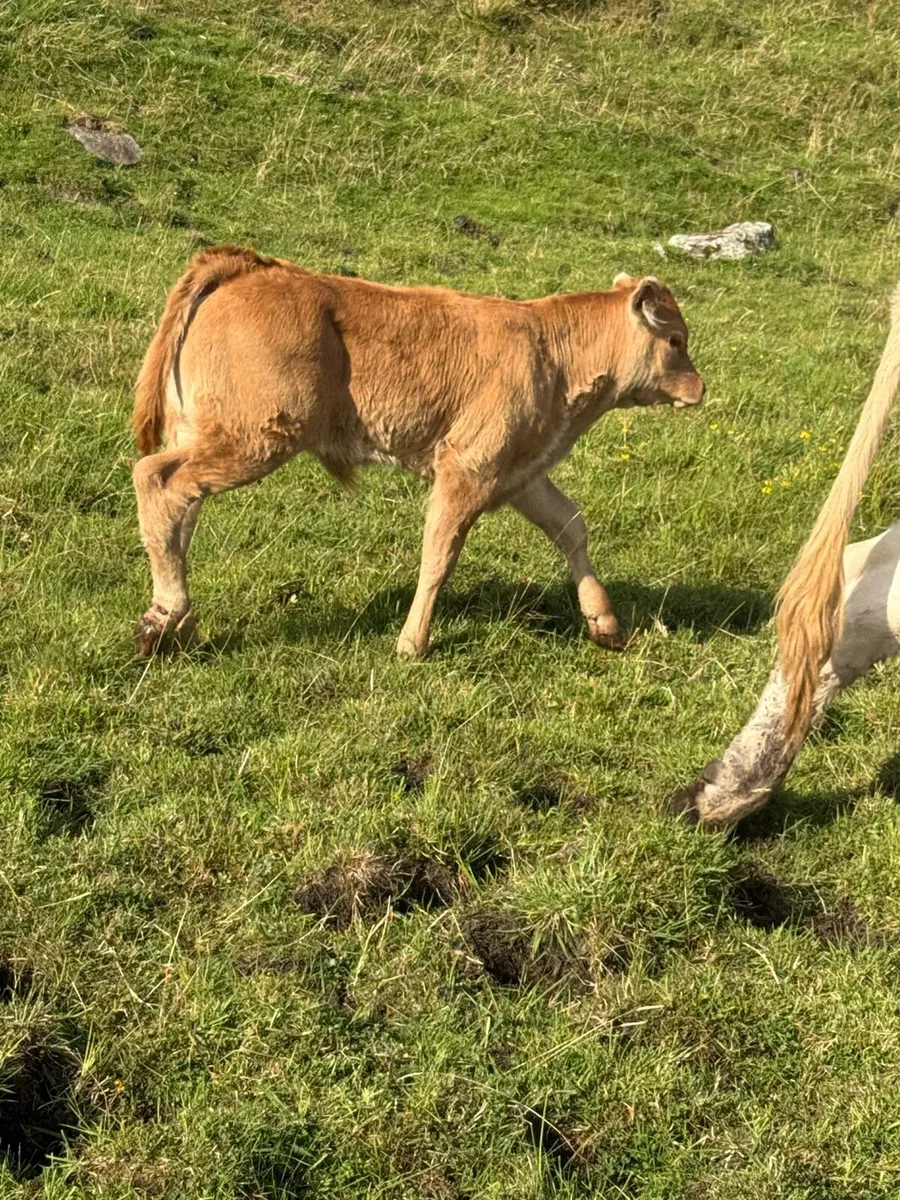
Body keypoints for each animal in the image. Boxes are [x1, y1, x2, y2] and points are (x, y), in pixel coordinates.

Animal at [130, 247, 704, 658]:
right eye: (675, 340)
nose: (699, 388)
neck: (550, 351)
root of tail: (251, 268)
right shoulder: (467, 470)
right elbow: (439, 555)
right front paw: (412, 644)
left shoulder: (520, 473)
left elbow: (570, 526)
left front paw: (604, 623)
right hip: (255, 438)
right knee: (157, 479)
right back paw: (166, 616)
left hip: (207, 435)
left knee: (182, 510)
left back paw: (179, 628)